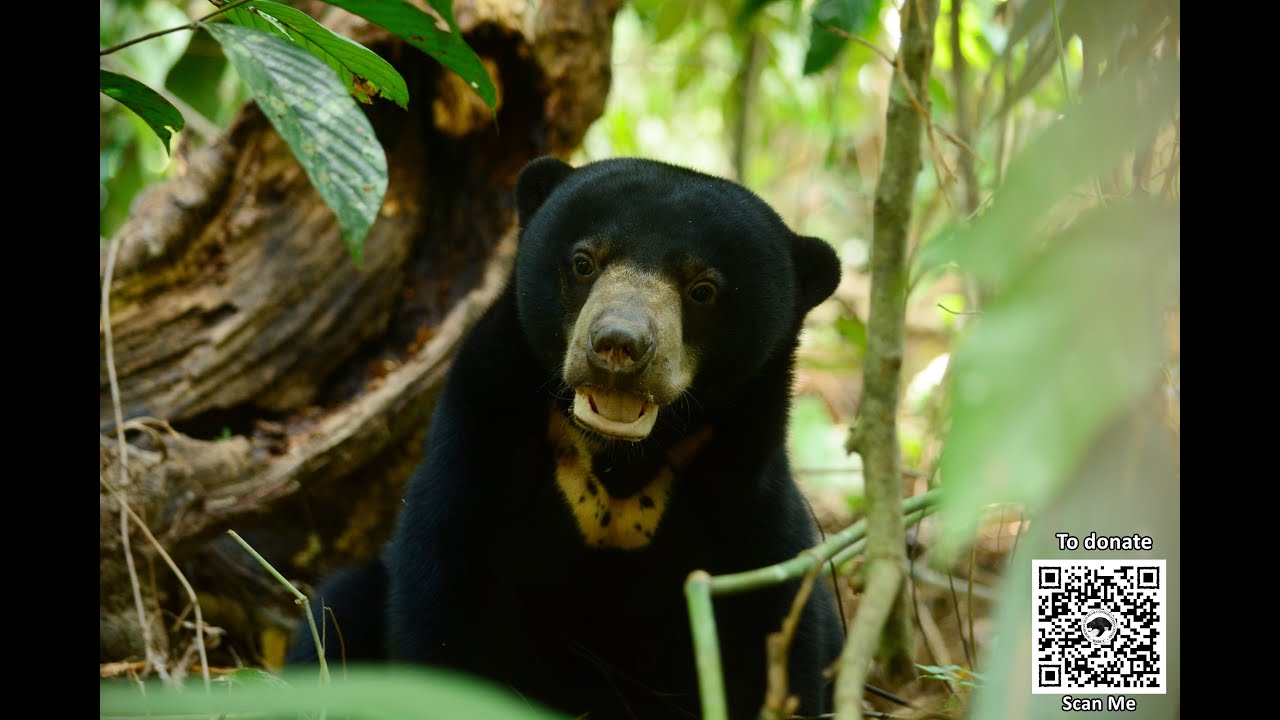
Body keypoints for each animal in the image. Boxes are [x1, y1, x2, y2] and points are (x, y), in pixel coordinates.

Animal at [288, 156, 845, 719]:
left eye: (702, 290)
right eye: (583, 262)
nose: (618, 346)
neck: (622, 459)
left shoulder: (746, 502)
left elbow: (782, 631)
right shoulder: (478, 452)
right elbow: (443, 604)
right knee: (337, 611)